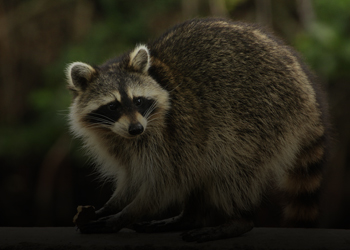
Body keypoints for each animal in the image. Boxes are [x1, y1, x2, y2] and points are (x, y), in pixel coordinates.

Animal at [65, 18, 328, 242]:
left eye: (138, 101)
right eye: (113, 106)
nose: (136, 128)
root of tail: (307, 89)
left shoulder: (171, 132)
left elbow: (162, 183)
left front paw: (125, 215)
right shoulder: (120, 142)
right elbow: (132, 177)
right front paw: (112, 205)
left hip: (265, 116)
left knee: (231, 166)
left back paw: (237, 220)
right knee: (201, 168)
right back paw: (190, 217)